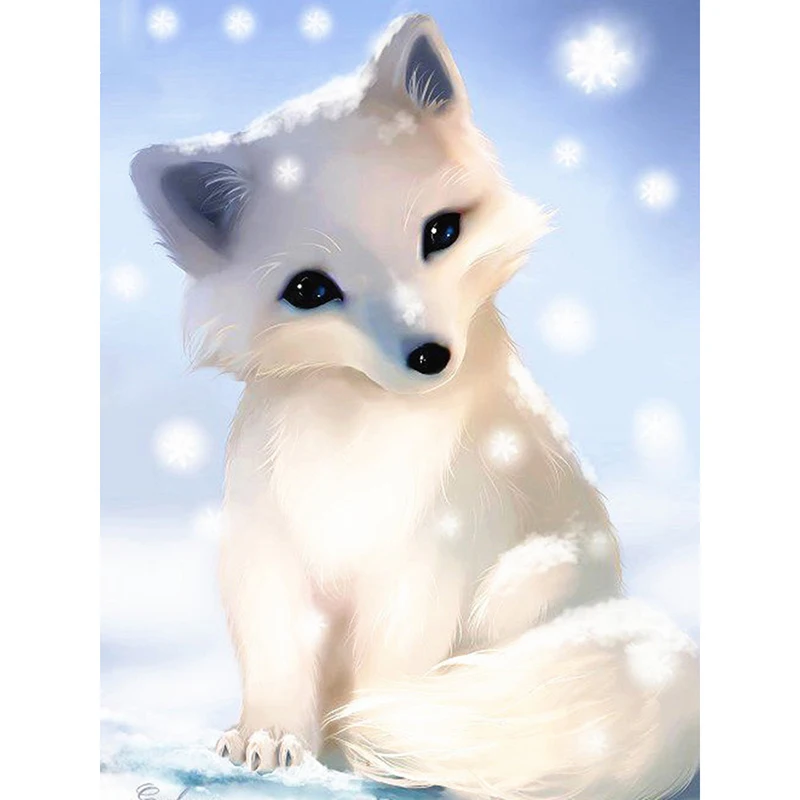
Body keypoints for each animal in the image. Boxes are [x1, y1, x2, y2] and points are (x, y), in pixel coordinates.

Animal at [130, 13, 699, 800]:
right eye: (310, 290)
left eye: (441, 232)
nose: (431, 356)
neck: (357, 436)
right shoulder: (266, 551)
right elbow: (276, 656)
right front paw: (269, 737)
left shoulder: (428, 562)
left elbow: (390, 669)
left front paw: (365, 747)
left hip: (525, 582)